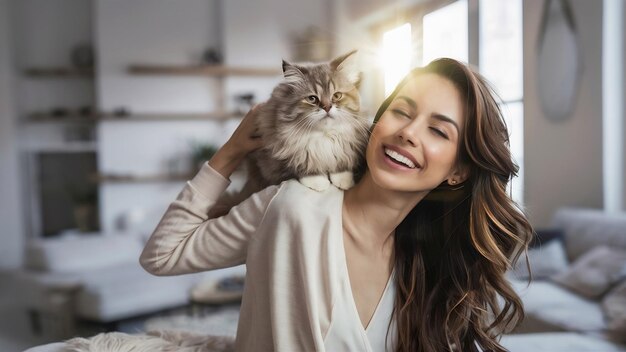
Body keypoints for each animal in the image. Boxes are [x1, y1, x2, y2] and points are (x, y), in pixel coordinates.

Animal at [210, 50, 366, 217]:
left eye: (336, 96)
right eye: (312, 99)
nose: (327, 107)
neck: (322, 136)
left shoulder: (347, 145)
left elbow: (342, 161)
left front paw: (343, 180)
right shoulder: (272, 155)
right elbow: (299, 167)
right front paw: (318, 182)